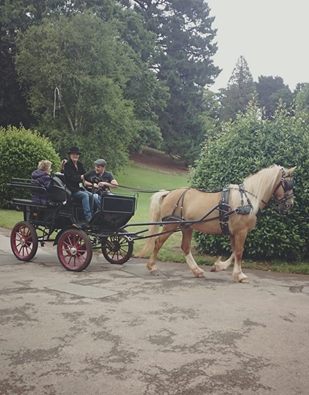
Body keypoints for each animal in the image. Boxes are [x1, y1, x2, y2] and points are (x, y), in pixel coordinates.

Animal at [138, 166, 294, 284]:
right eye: (287, 184)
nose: (290, 204)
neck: (247, 199)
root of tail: (169, 193)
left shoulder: (234, 232)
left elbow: (234, 251)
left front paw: (219, 267)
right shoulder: (241, 231)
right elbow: (239, 251)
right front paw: (239, 275)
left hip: (186, 227)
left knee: (185, 247)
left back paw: (197, 271)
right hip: (170, 225)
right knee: (158, 242)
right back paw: (152, 267)